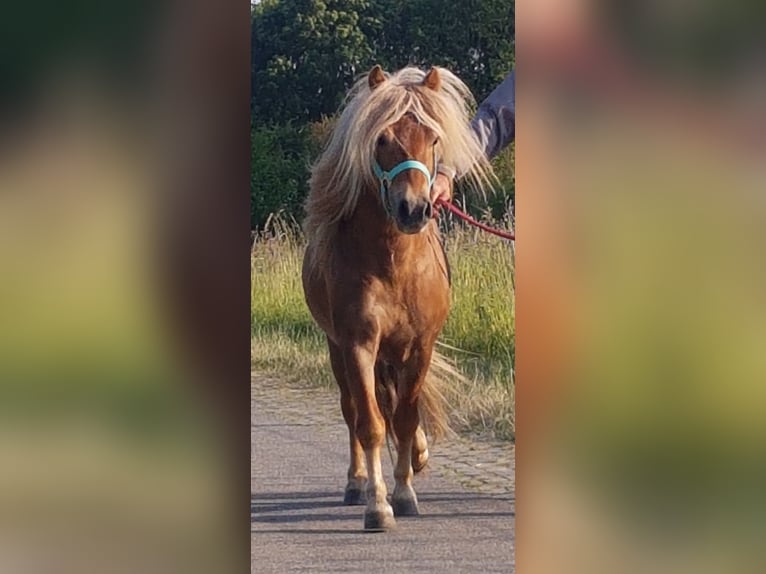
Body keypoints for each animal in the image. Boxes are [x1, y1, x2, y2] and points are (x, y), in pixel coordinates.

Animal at [300, 65, 492, 532]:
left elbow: (405, 418)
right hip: (337, 350)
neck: (394, 263)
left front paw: (405, 493)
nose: (413, 209)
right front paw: (378, 505)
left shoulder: (420, 346)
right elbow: (370, 423)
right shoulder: (357, 345)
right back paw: (356, 483)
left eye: (434, 138)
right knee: (353, 410)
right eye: (382, 139)